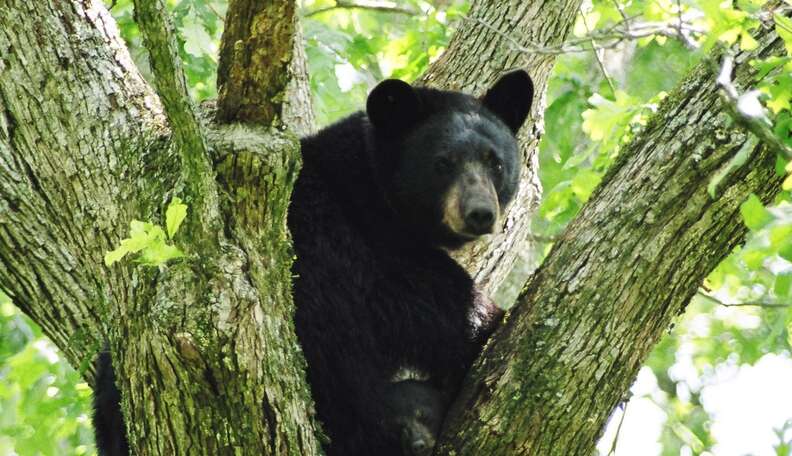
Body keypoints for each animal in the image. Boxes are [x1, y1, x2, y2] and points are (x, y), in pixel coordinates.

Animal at [94, 68, 540, 456]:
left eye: (496, 162)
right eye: (443, 162)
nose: (480, 213)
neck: (370, 194)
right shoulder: (364, 253)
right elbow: (438, 309)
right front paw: (487, 320)